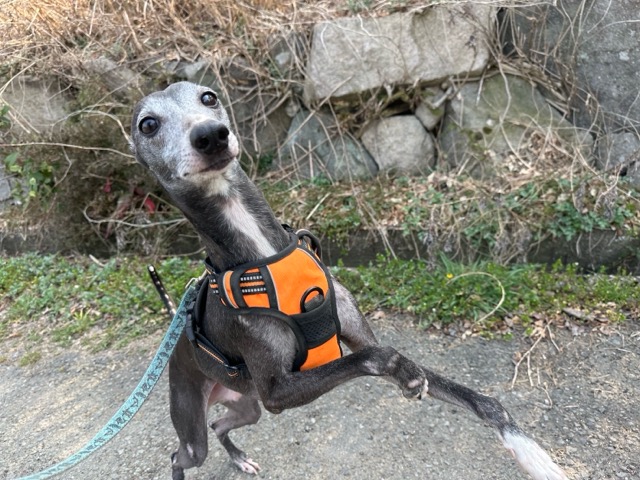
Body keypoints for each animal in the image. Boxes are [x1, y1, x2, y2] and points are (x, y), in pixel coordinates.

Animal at [130, 81, 568, 480]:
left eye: (208, 97)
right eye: (148, 124)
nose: (211, 135)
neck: (264, 255)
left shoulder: (347, 338)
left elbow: (483, 401)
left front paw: (532, 454)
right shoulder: (276, 391)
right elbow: (382, 357)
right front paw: (405, 372)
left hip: (246, 404)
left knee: (221, 424)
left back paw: (240, 458)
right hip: (198, 423)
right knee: (181, 454)